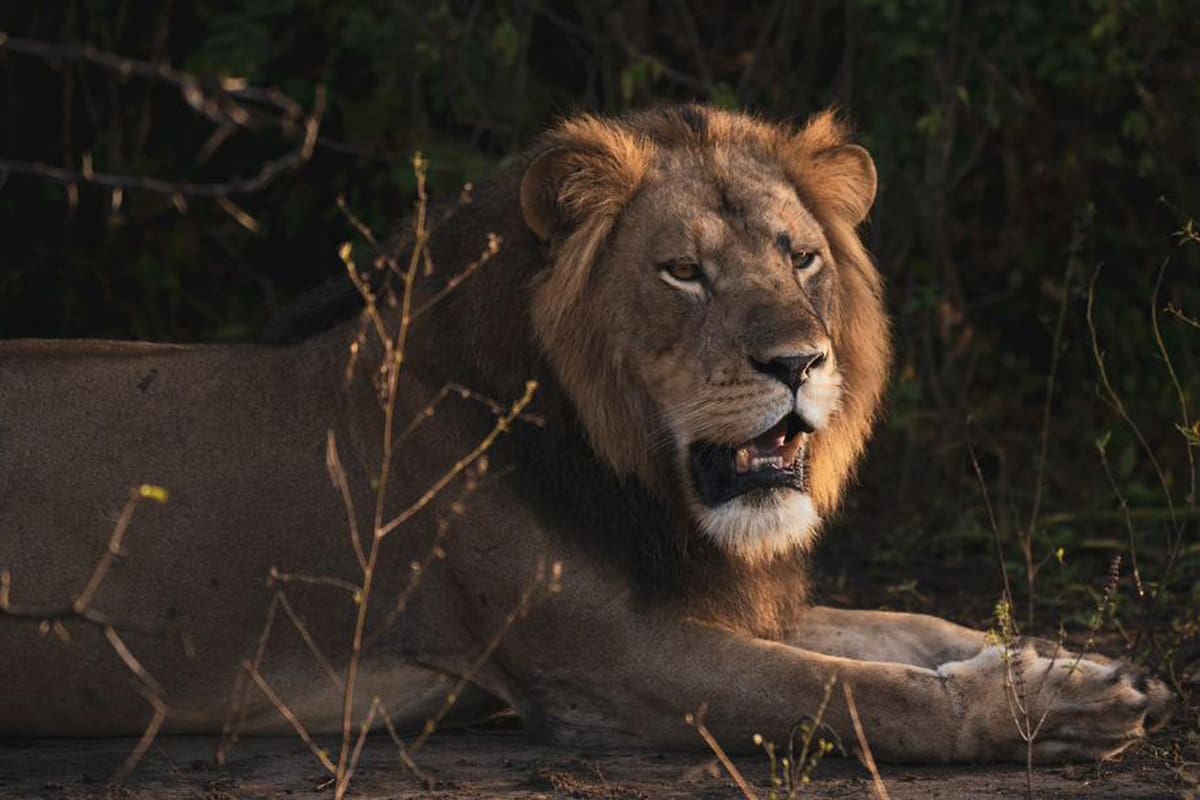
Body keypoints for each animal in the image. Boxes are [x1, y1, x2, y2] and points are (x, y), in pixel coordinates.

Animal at [0, 105, 1170, 764]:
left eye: (800, 257)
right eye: (683, 270)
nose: (801, 363)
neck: (637, 476)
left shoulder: (708, 590)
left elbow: (901, 627)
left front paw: (1070, 664)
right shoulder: (603, 664)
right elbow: (857, 692)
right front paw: (1039, 710)